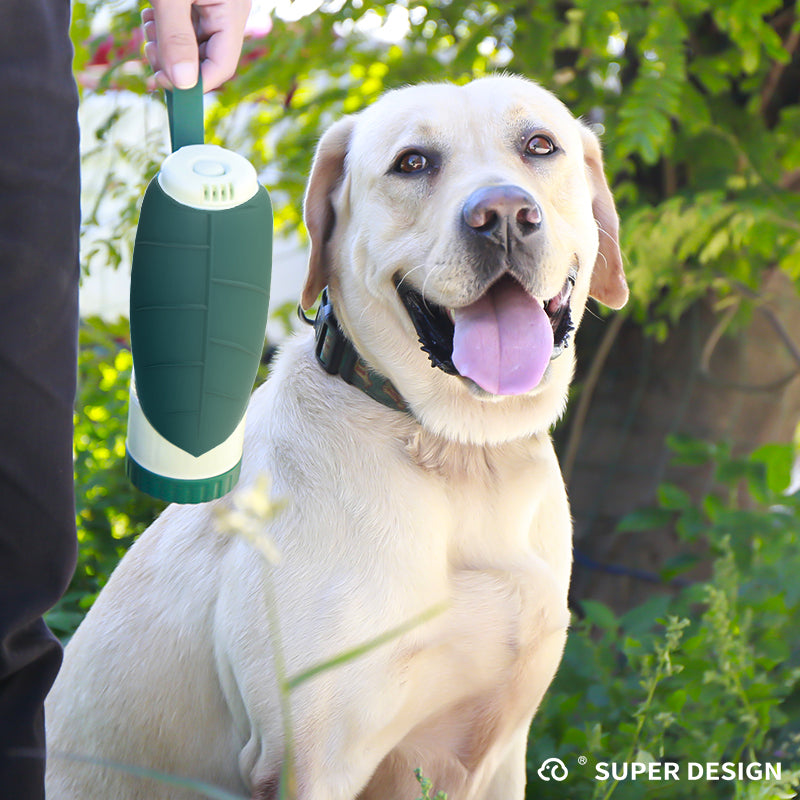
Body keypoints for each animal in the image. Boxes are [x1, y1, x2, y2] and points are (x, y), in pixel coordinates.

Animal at [47, 76, 628, 800]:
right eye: (412, 162)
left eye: (540, 146)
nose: (502, 215)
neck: (460, 455)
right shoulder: (314, 760)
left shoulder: (504, 753)